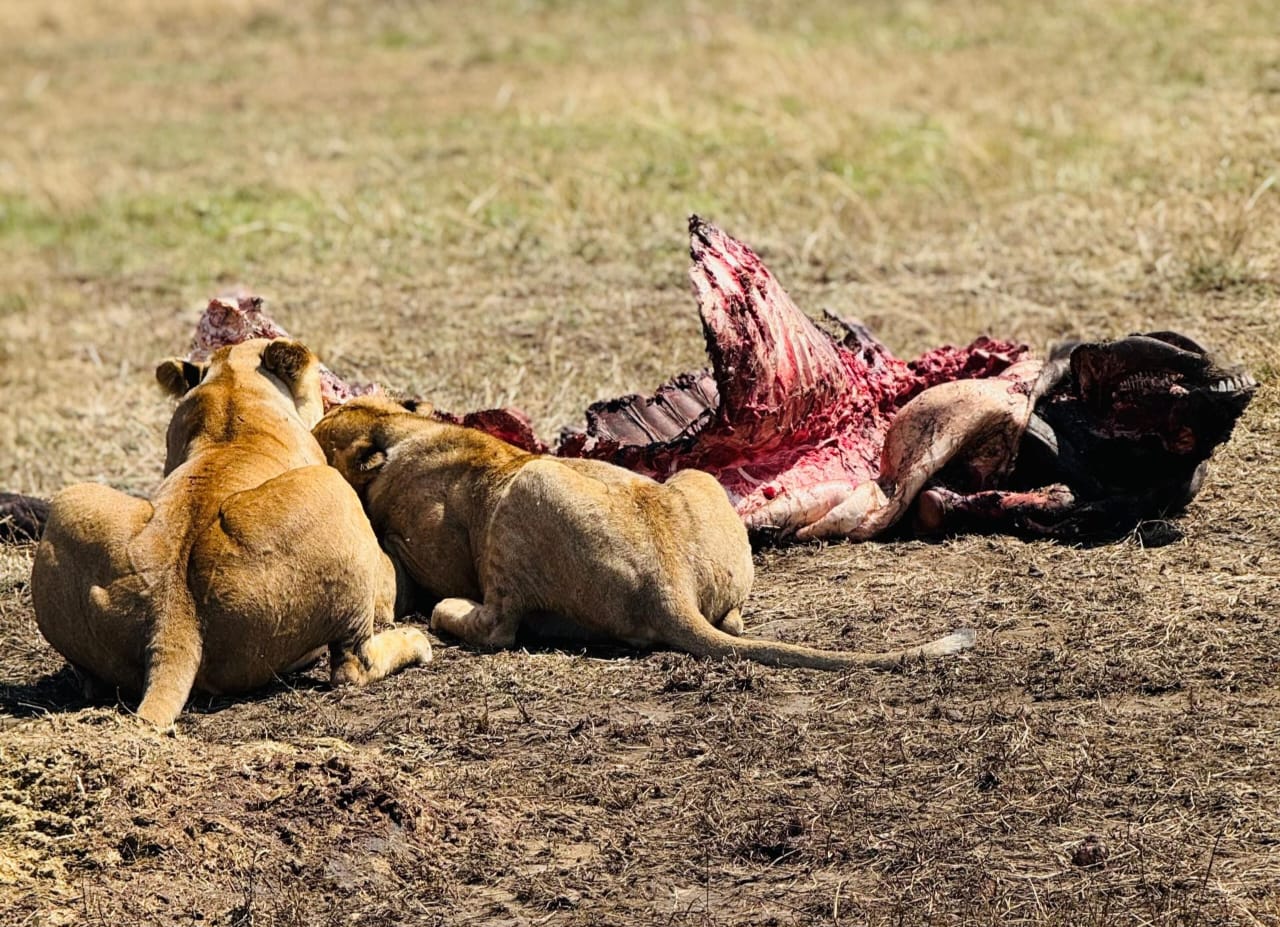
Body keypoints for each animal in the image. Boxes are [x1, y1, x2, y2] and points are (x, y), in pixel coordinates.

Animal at [32, 339, 433, 727]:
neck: (233, 385)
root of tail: (172, 618)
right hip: (332, 491)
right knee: (352, 663)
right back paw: (415, 643)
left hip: (70, 501)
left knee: (91, 681)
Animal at [312, 396, 975, 669]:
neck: (400, 429)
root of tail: (669, 584)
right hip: (694, 480)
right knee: (734, 620)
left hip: (527, 487)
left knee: (499, 625)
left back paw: (449, 613)